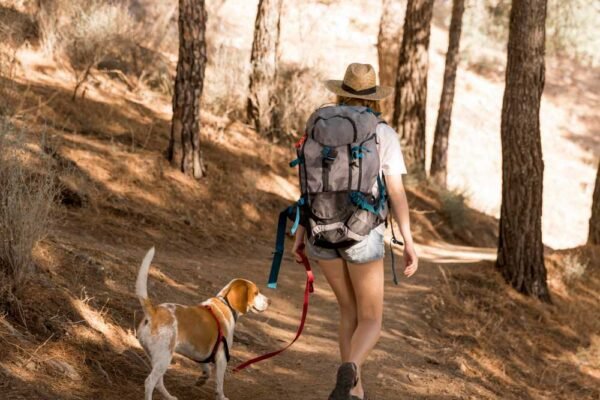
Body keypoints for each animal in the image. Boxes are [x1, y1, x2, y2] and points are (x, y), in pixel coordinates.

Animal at [137, 248, 270, 398]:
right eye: (256, 292)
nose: (269, 301)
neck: (225, 302)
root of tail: (154, 311)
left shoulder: (201, 354)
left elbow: (207, 370)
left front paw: (202, 379)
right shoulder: (222, 358)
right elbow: (219, 384)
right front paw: (221, 397)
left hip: (159, 360)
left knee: (158, 383)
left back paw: (169, 397)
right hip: (164, 358)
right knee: (150, 382)